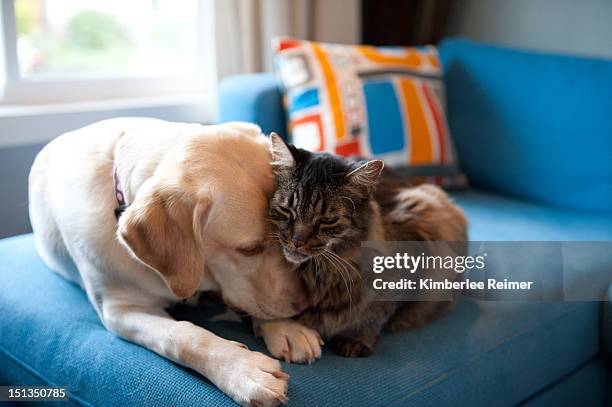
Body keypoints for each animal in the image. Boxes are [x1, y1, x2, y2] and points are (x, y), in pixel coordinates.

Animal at [27, 117, 310, 404]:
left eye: (284, 238)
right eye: (249, 249)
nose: (304, 304)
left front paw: (285, 329)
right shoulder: (119, 310)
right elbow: (183, 336)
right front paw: (243, 370)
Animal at [260, 136, 468, 360]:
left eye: (327, 220)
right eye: (286, 210)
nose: (297, 240)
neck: (321, 274)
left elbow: (376, 315)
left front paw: (357, 339)